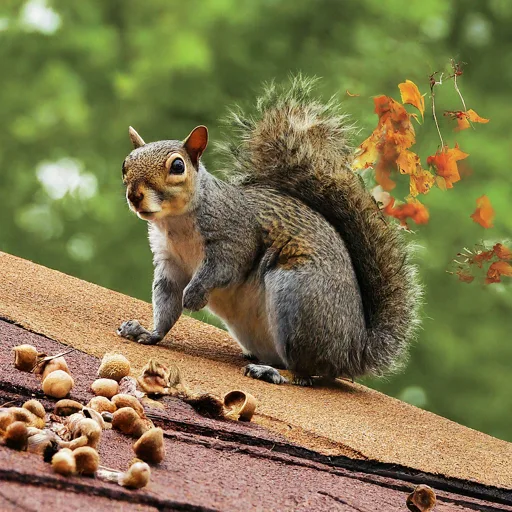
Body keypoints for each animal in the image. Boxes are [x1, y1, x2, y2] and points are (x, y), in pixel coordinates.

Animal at [118, 76, 422, 386]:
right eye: (125, 165)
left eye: (178, 166)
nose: (135, 196)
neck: (176, 223)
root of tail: (351, 353)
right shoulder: (170, 262)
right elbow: (166, 300)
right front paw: (149, 333)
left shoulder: (235, 237)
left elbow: (223, 269)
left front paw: (193, 296)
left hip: (297, 299)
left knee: (304, 373)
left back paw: (271, 372)